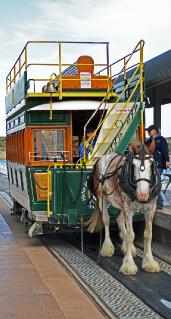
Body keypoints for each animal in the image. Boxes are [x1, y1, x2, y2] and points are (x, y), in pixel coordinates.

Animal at [87, 141, 162, 276]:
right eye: (133, 165)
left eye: (152, 164)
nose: (143, 195)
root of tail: (102, 158)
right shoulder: (128, 207)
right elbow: (130, 234)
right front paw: (129, 265)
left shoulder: (151, 209)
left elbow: (148, 235)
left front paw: (149, 262)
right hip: (102, 198)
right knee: (107, 220)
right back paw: (107, 248)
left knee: (119, 220)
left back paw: (129, 248)